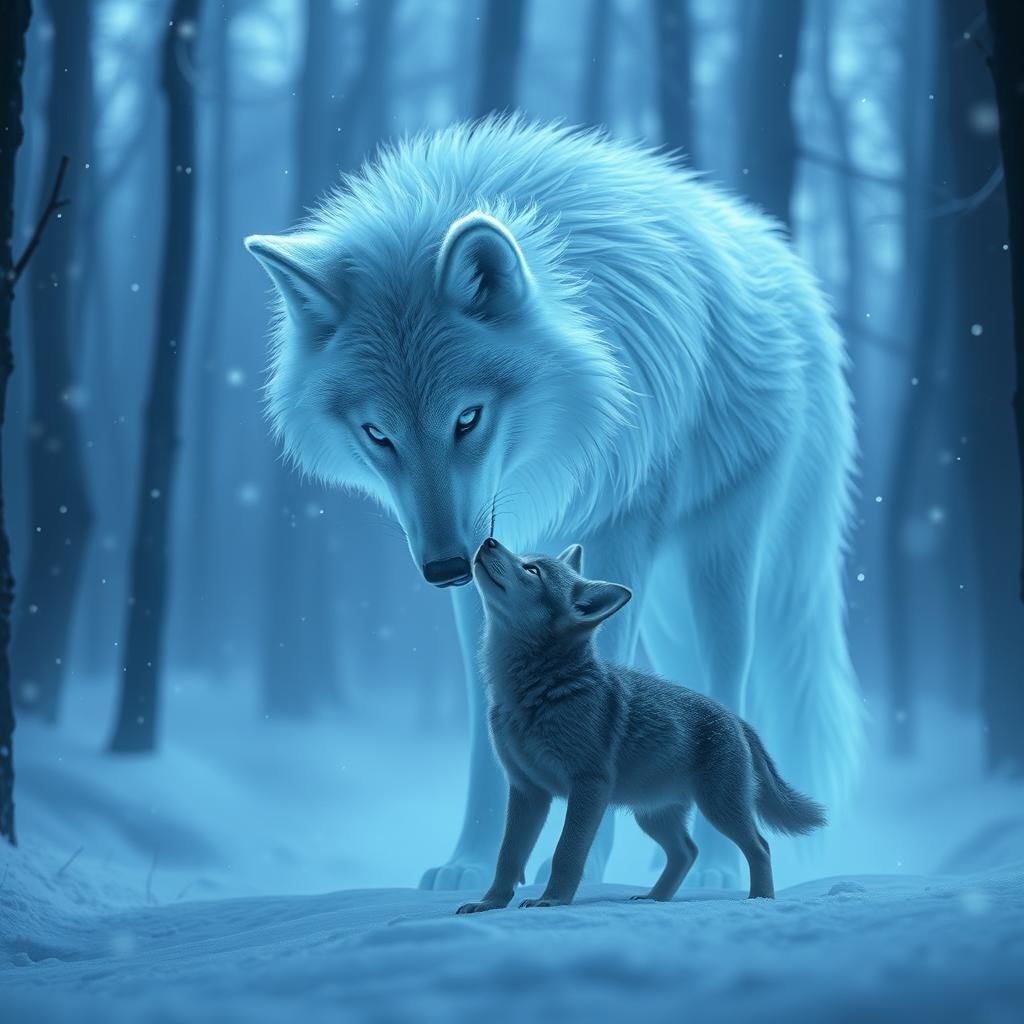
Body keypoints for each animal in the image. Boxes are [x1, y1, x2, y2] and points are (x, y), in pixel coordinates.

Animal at [456, 539, 826, 913]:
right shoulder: (526, 791)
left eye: (532, 570)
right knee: (687, 852)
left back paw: (760, 900)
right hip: (652, 817)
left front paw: (553, 899)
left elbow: (567, 852)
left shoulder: (589, 787)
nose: (489, 541)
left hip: (719, 809)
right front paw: (490, 903)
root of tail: (736, 718)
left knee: (759, 847)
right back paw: (654, 899)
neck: (537, 691)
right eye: (525, 559)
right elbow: (507, 856)